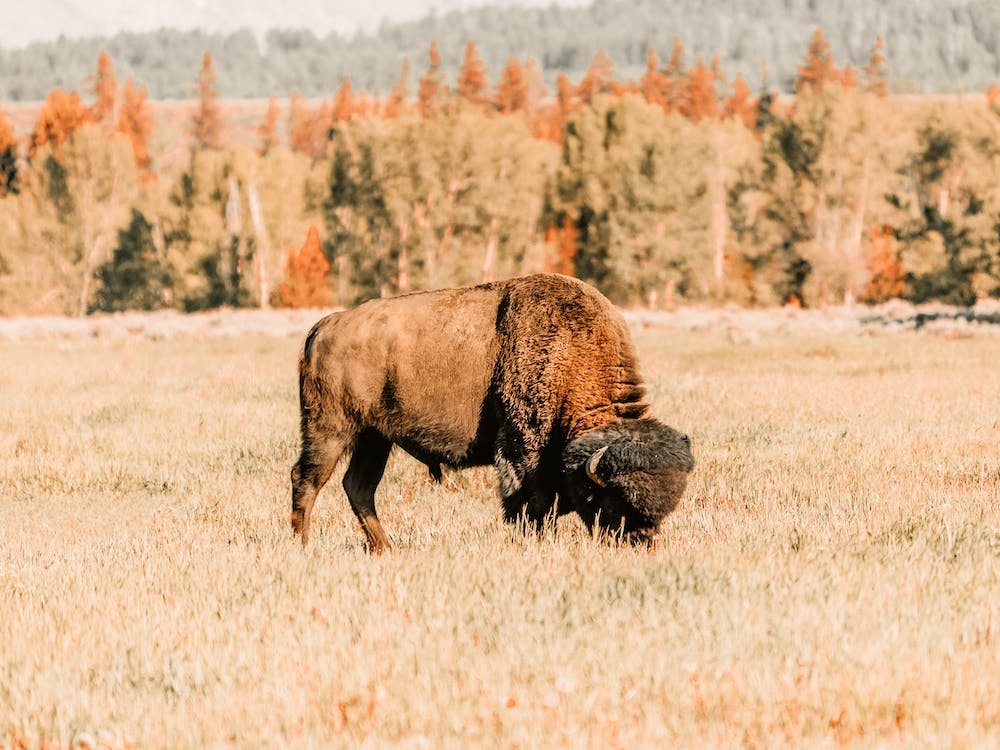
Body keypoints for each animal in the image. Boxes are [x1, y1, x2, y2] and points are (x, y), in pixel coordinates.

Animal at [290, 273, 694, 552]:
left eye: (664, 508)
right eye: (616, 500)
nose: (640, 542)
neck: (571, 352)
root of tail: (325, 326)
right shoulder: (523, 451)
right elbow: (533, 503)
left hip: (375, 439)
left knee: (358, 487)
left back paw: (384, 548)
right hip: (330, 429)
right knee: (307, 479)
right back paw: (303, 544)